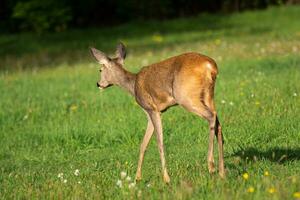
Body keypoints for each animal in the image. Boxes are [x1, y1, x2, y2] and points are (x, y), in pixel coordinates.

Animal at [90, 43, 224, 183]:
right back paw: (222, 172)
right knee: (218, 123)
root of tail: (210, 66)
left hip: (186, 97)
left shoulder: (152, 109)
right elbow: (143, 144)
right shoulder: (151, 114)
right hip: (208, 95)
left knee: (211, 116)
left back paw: (211, 165)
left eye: (100, 70)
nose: (98, 84)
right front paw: (137, 178)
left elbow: (159, 142)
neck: (133, 85)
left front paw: (166, 178)